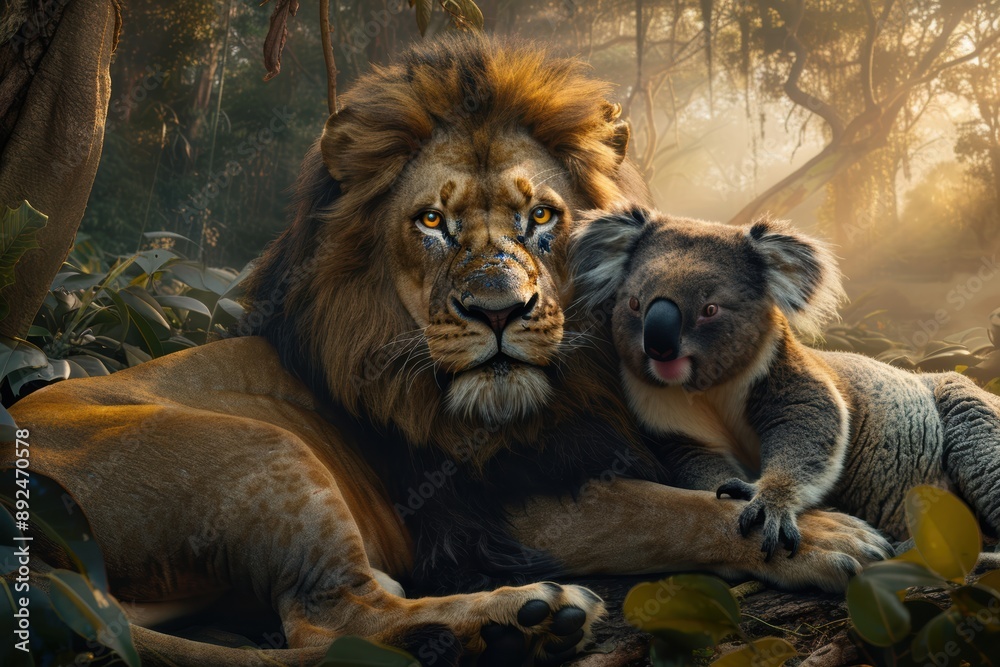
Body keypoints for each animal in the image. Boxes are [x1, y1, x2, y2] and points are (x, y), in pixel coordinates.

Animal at [4, 36, 893, 666]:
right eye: (432, 220)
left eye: (543, 216)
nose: (499, 310)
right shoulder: (512, 502)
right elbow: (673, 509)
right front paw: (821, 535)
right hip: (260, 448)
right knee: (330, 622)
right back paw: (522, 615)